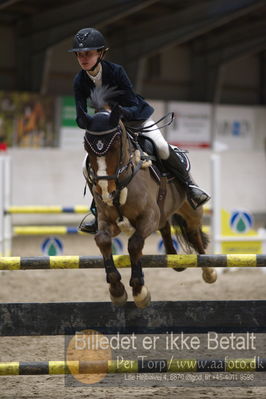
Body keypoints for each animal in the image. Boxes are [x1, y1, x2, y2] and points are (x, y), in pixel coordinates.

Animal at [81, 86, 216, 310]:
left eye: (116, 144)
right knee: (165, 226)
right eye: (86, 146)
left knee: (195, 236)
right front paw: (117, 291)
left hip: (191, 212)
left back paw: (209, 271)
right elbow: (102, 240)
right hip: (163, 214)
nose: (106, 190)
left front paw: (139, 291)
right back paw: (174, 259)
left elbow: (135, 244)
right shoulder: (108, 221)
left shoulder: (148, 217)